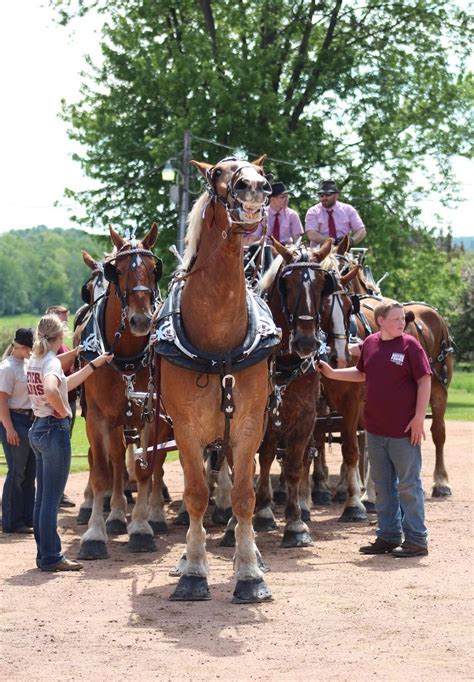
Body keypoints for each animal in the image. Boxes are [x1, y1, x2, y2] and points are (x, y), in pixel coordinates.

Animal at [78, 223, 165, 556]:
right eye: (119, 269)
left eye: (155, 269)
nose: (141, 320)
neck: (125, 354)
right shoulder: (97, 418)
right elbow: (102, 473)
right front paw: (94, 533)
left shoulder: (151, 414)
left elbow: (144, 470)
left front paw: (141, 527)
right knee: (114, 460)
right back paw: (114, 514)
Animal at [156, 155, 282, 600]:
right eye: (217, 174)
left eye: (260, 172)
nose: (256, 186)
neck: (219, 342)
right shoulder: (186, 429)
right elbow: (195, 495)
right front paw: (194, 569)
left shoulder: (247, 426)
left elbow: (244, 497)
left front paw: (249, 572)